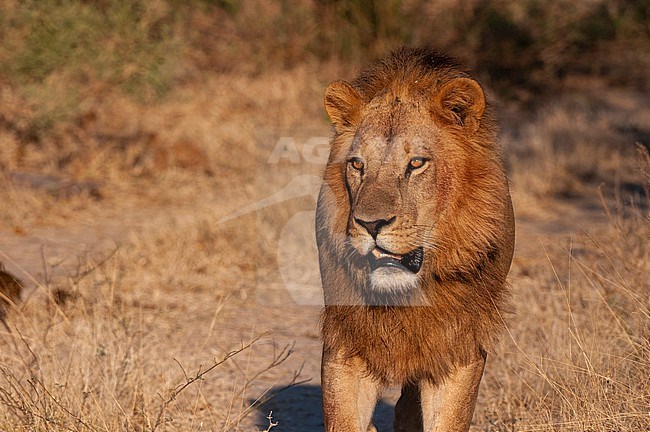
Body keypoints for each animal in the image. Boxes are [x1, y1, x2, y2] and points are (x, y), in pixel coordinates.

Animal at [316, 45, 512, 430]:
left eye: (417, 163)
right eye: (357, 164)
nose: (371, 224)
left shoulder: (459, 345)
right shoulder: (345, 339)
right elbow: (344, 418)